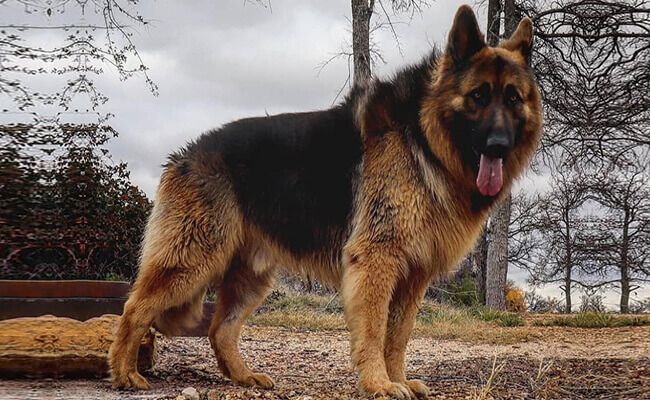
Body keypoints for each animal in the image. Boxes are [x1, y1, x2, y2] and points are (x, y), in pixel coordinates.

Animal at [109, 4, 540, 398]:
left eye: (513, 98)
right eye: (478, 96)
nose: (499, 147)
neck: (422, 135)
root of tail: (182, 155)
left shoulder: (413, 276)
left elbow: (399, 335)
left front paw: (398, 379)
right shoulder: (377, 262)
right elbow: (374, 331)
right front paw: (379, 383)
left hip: (249, 277)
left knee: (220, 329)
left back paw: (244, 377)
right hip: (193, 260)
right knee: (134, 309)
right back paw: (125, 373)